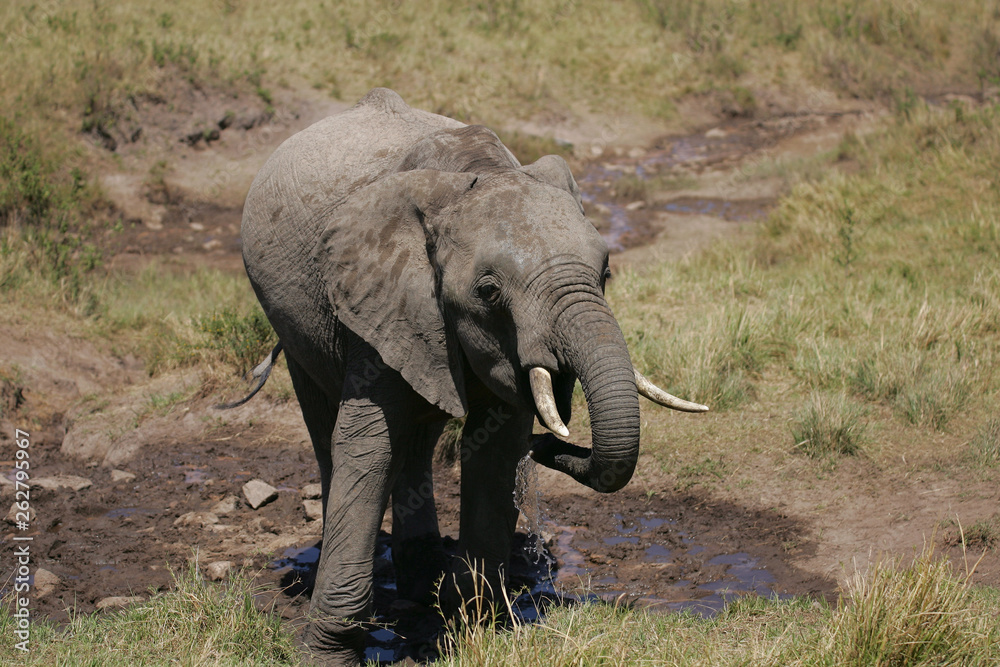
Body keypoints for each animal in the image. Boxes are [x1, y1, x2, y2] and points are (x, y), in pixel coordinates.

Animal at [228, 88, 708, 665]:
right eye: (489, 290)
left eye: (606, 272)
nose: (549, 446)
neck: (475, 173)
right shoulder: (383, 298)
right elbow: (368, 447)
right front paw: (326, 654)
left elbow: (496, 446)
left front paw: (475, 620)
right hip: (291, 317)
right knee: (326, 426)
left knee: (420, 435)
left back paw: (423, 579)